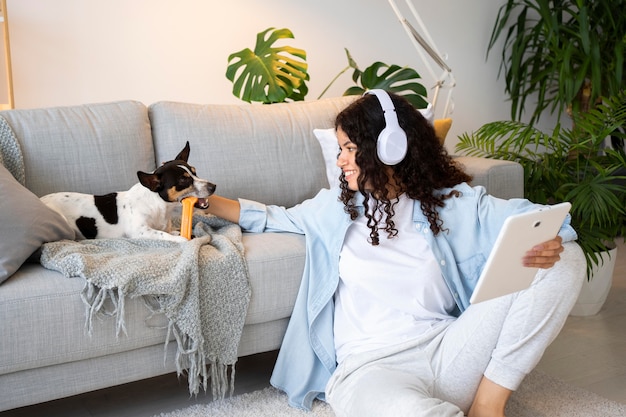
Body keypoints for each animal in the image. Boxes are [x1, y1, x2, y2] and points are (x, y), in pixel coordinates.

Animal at [42, 142, 214, 242]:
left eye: (195, 172)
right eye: (183, 180)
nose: (213, 186)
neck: (158, 206)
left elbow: (169, 231)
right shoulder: (140, 231)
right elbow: (164, 235)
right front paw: (181, 239)